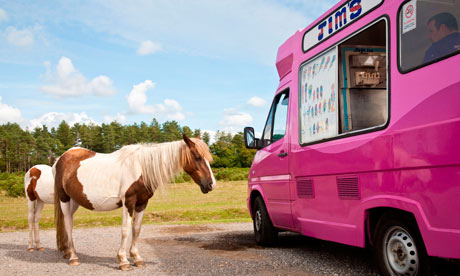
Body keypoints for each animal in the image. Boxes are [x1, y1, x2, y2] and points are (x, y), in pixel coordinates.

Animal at [53, 135, 216, 270]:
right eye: (197, 157)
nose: (211, 184)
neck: (141, 168)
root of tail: (61, 158)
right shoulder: (129, 202)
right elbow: (125, 230)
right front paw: (123, 261)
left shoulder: (142, 203)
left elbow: (136, 229)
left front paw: (137, 258)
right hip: (64, 199)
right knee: (68, 225)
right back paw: (73, 257)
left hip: (75, 201)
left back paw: (68, 253)